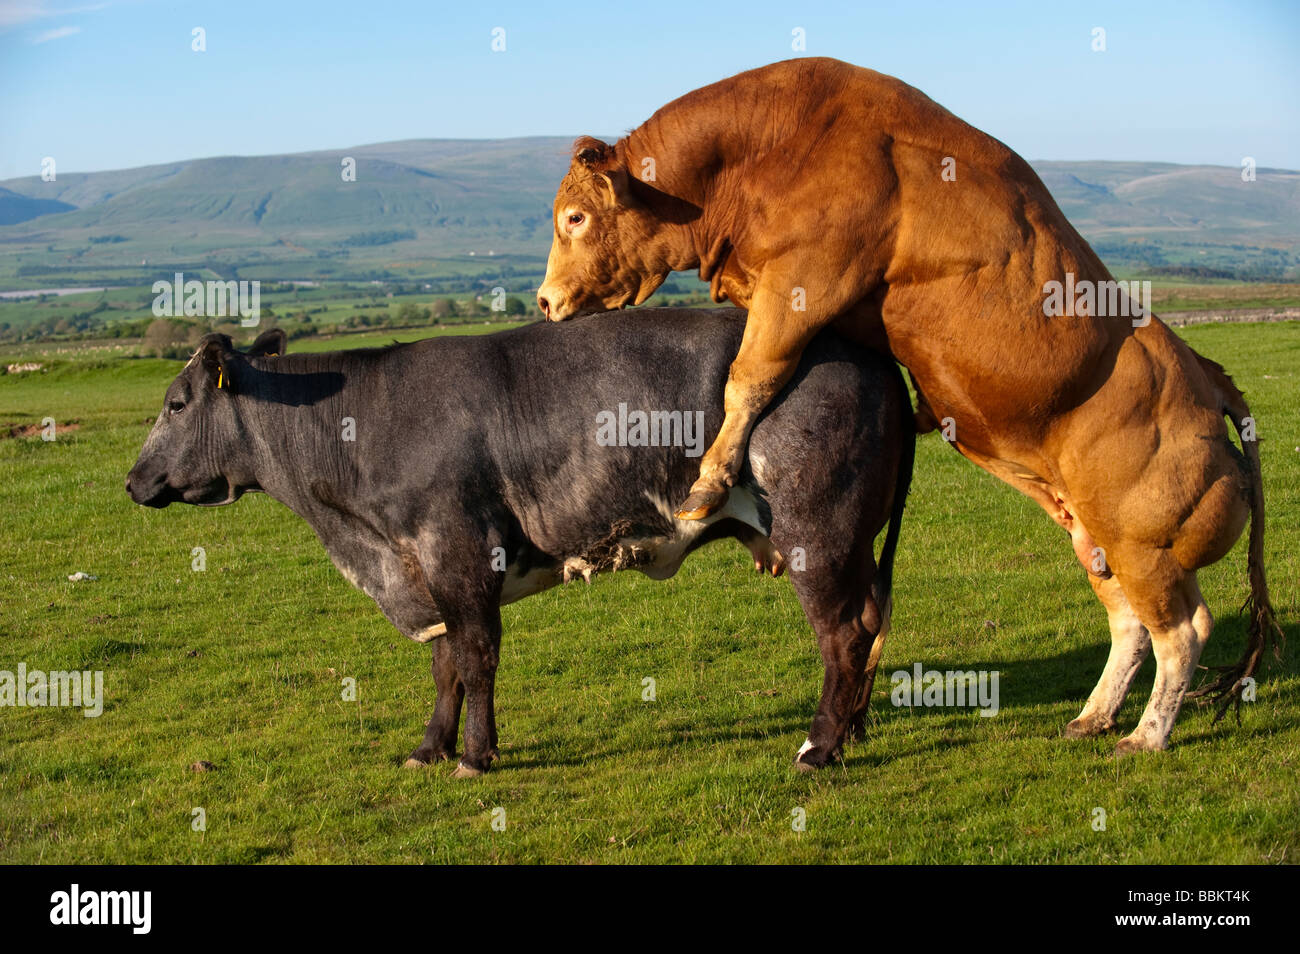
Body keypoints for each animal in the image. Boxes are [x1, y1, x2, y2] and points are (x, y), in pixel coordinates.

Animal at [126, 315, 913, 776]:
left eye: (176, 403)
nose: (133, 481)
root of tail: (864, 351)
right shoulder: (433, 572)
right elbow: (445, 667)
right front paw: (430, 748)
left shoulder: (457, 553)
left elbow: (475, 661)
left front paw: (475, 755)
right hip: (853, 545)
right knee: (871, 621)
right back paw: (853, 730)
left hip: (816, 532)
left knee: (842, 635)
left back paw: (818, 746)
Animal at [535, 56, 1283, 754]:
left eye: (575, 217)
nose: (543, 301)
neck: (775, 146)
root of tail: (1206, 376)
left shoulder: (803, 281)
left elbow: (748, 379)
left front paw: (709, 481)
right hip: (1094, 535)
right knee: (1130, 623)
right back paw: (1095, 717)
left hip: (1143, 543)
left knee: (1182, 631)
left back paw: (1146, 735)